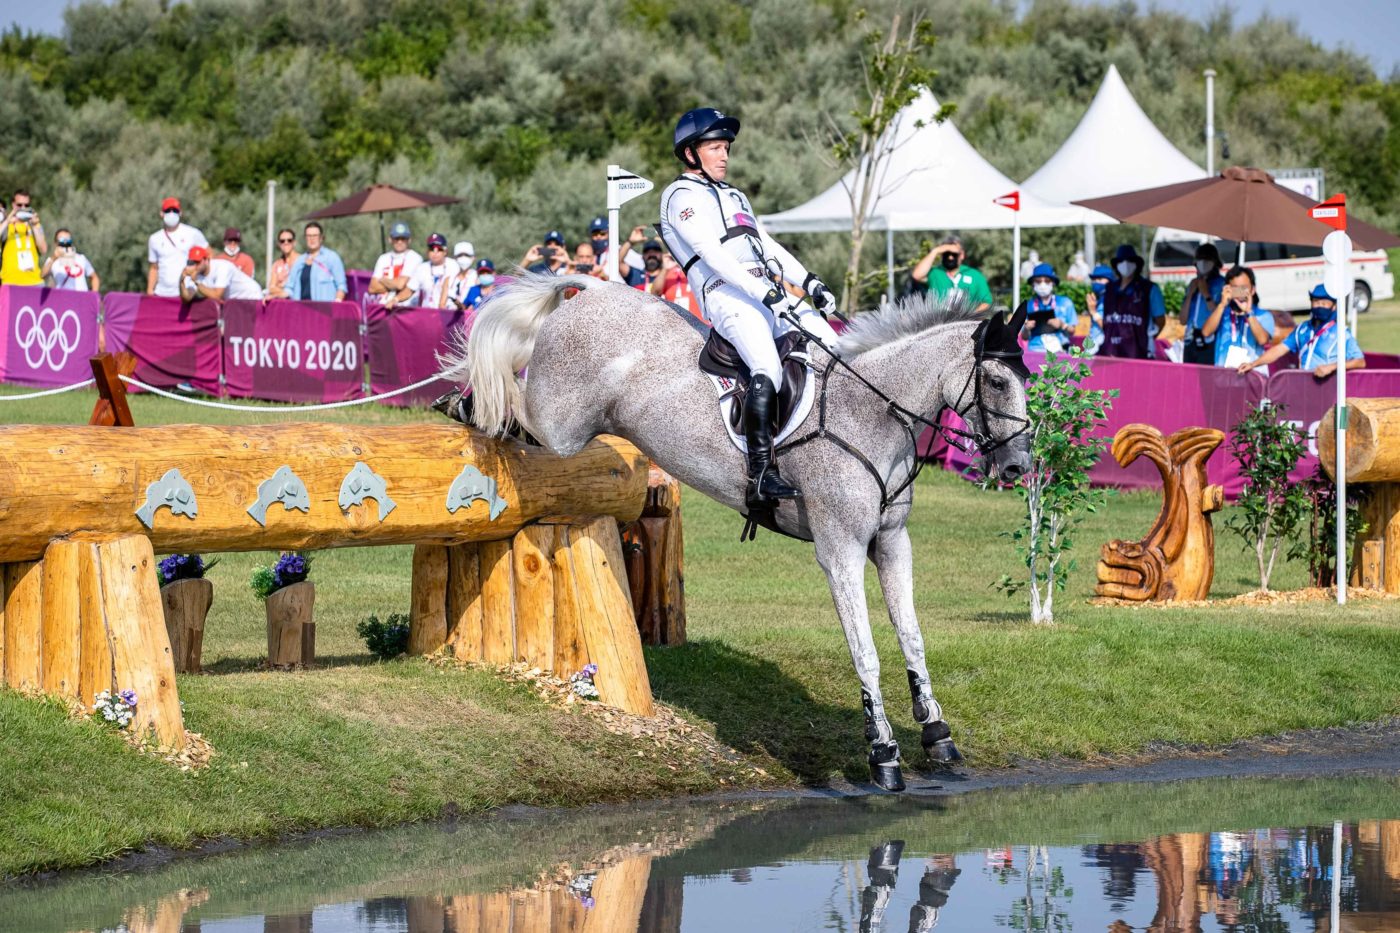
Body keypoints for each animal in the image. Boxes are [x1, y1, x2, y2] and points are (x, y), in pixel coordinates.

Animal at [442, 273, 1036, 790]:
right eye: (997, 381)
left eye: (1027, 380)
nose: (1016, 467)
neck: (869, 412)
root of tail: (593, 289)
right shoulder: (840, 549)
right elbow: (864, 650)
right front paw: (883, 753)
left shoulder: (891, 542)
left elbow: (911, 636)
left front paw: (937, 735)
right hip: (559, 426)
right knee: (507, 406)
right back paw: (460, 403)